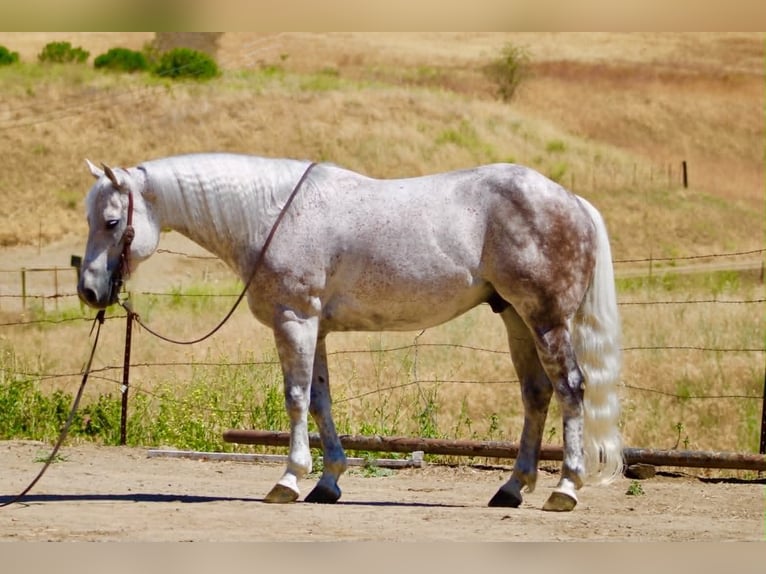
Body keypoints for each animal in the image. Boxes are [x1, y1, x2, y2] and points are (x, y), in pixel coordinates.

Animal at [77, 152, 623, 511]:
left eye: (112, 221)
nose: (89, 290)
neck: (273, 213)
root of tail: (572, 201)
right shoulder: (314, 329)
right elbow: (321, 400)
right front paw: (328, 483)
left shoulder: (294, 320)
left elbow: (296, 398)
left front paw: (289, 480)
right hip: (515, 317)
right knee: (536, 394)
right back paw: (511, 489)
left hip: (546, 320)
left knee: (571, 389)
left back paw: (565, 489)